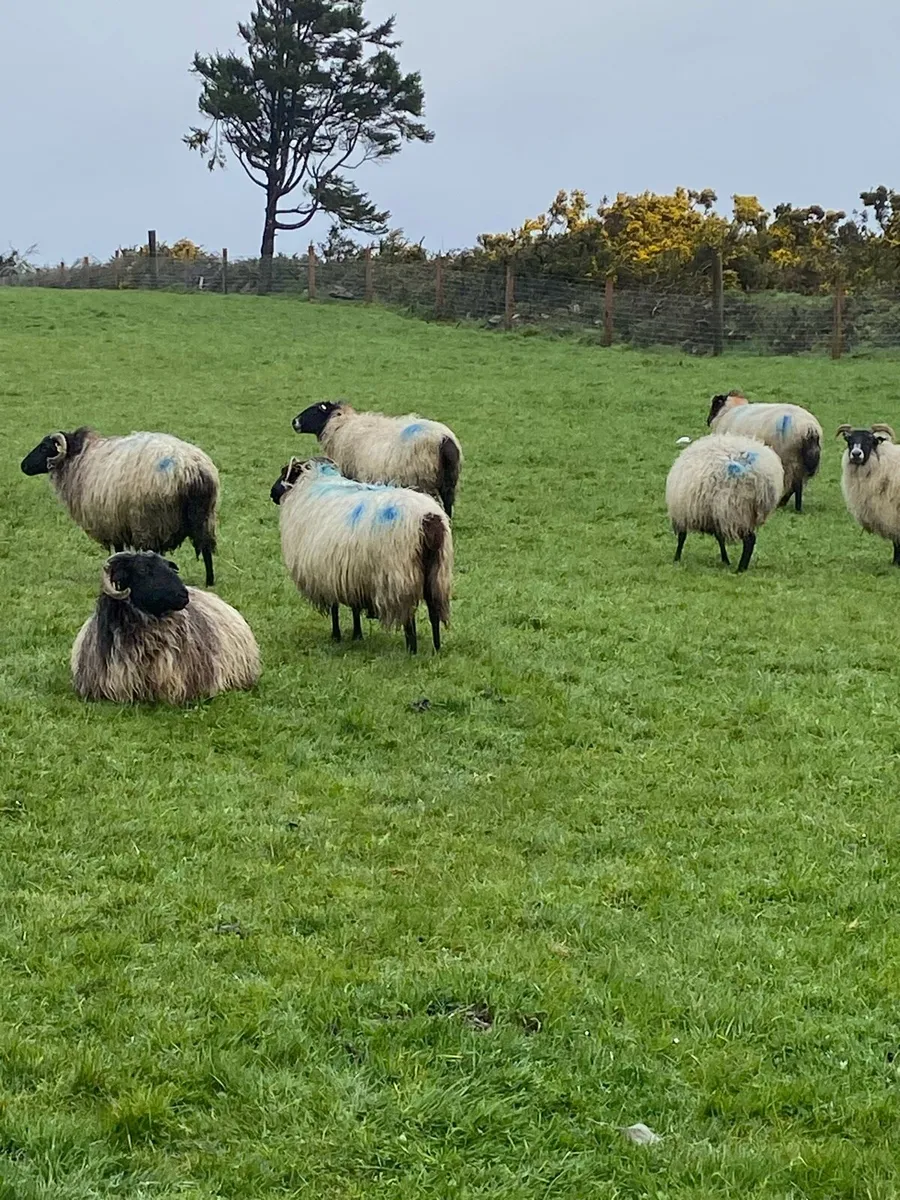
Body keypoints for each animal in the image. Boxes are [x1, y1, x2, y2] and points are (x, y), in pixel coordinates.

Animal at [20, 427, 219, 585]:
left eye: (45, 447)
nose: (23, 466)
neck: (80, 459)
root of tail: (194, 469)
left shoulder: (112, 522)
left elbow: (118, 550)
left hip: (152, 520)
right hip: (204, 515)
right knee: (206, 547)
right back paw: (209, 581)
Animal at [270, 456, 453, 654]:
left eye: (284, 472)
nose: (272, 493)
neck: (308, 486)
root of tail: (429, 520)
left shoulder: (327, 572)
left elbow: (335, 608)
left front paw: (336, 636)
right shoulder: (350, 573)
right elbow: (355, 607)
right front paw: (357, 635)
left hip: (400, 575)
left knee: (409, 616)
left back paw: (412, 650)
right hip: (437, 572)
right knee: (434, 611)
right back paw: (436, 648)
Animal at [291, 401, 463, 517]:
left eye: (314, 410)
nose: (294, 422)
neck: (340, 425)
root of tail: (445, 440)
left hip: (423, 478)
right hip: (448, 480)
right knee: (448, 503)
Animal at [666, 433, 784, 572]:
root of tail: (762, 477)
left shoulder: (682, 513)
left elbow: (682, 537)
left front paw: (676, 558)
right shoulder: (714, 516)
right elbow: (720, 538)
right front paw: (725, 560)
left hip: (736, 509)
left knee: (749, 540)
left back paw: (740, 569)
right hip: (740, 512)